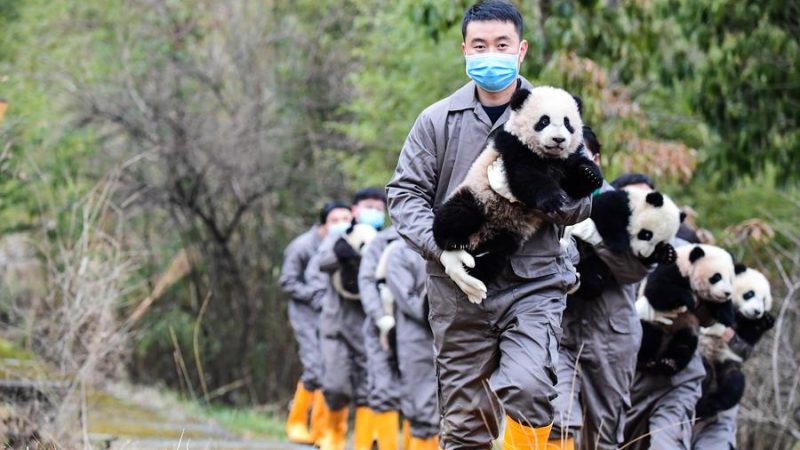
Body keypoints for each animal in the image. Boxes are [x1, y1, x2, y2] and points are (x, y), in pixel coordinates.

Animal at [432, 86, 603, 282]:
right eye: (544, 121)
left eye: (567, 123)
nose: (559, 139)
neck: (549, 157)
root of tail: (477, 239)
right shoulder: (512, 147)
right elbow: (524, 176)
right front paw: (552, 199)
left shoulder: (566, 160)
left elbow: (574, 184)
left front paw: (591, 174)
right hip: (478, 195)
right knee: (458, 213)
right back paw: (453, 241)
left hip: (509, 234)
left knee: (495, 256)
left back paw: (475, 270)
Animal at [635, 244, 736, 375]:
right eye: (717, 277)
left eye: (731, 280)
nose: (727, 293)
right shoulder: (673, 270)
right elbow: (656, 290)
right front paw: (689, 300)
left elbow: (719, 311)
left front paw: (726, 315)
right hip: (653, 322)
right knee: (647, 336)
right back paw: (645, 362)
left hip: (687, 325)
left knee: (684, 344)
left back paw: (669, 364)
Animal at [695, 264, 775, 418]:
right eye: (749, 294)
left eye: (763, 300)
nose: (757, 312)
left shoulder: (744, 331)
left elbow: (747, 340)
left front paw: (767, 320)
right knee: (705, 373)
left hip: (727, 361)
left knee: (734, 383)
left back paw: (710, 405)